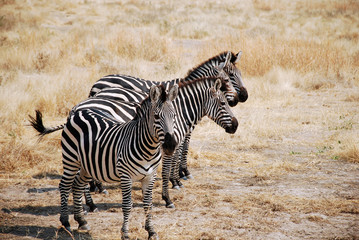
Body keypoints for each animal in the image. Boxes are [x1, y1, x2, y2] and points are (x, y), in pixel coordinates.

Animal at [28, 83, 180, 239]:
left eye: (174, 115)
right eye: (156, 116)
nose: (171, 145)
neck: (148, 149)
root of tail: (76, 112)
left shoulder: (150, 176)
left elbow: (148, 205)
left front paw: (151, 231)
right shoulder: (126, 176)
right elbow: (127, 205)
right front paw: (125, 233)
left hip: (88, 165)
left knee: (77, 185)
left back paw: (82, 221)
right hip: (71, 159)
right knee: (64, 185)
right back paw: (66, 223)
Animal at [88, 50, 249, 188]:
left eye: (239, 74)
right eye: (229, 78)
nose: (242, 97)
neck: (183, 104)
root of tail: (98, 83)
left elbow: (183, 149)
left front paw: (180, 174)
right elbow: (181, 150)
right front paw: (178, 178)